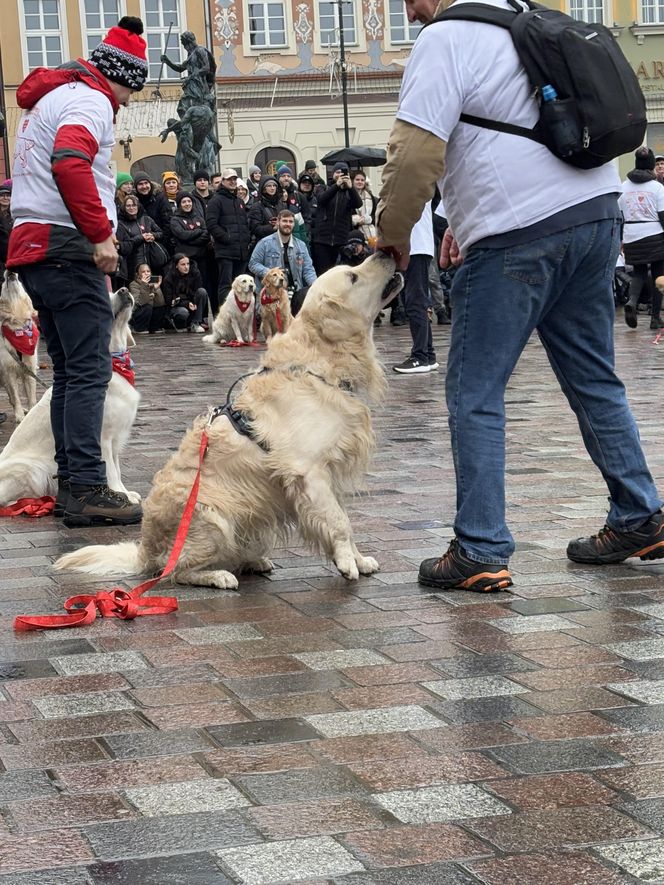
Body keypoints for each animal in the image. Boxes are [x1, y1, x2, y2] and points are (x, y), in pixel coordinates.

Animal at [0, 270, 38, 422]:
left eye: (20, 282)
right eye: (2, 283)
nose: (9, 270)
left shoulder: (29, 366)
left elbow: (31, 396)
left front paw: (31, 411)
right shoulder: (8, 370)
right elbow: (15, 396)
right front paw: (19, 415)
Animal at [0, 290, 141, 508]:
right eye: (106, 296)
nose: (124, 290)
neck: (115, 363)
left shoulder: (116, 437)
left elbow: (117, 469)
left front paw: (126, 492)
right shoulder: (102, 438)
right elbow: (110, 470)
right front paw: (118, 494)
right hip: (33, 470)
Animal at [54, 252, 402, 592]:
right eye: (353, 276)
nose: (387, 251)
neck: (319, 364)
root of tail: (144, 550)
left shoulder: (327, 474)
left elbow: (341, 517)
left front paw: (359, 559)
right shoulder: (308, 471)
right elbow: (339, 522)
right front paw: (347, 563)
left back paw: (253, 562)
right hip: (214, 516)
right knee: (175, 570)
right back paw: (218, 576)